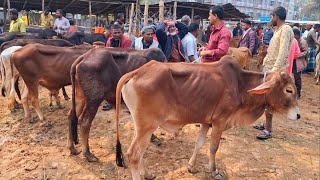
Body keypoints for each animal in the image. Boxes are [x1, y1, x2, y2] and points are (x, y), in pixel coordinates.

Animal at [114, 55, 300, 179]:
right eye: (289, 90)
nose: (298, 115)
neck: (240, 85)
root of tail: (137, 72)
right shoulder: (220, 121)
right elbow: (213, 147)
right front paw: (214, 171)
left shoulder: (205, 122)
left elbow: (200, 143)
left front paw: (191, 166)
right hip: (147, 126)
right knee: (133, 154)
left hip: (141, 126)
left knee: (139, 152)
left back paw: (147, 173)